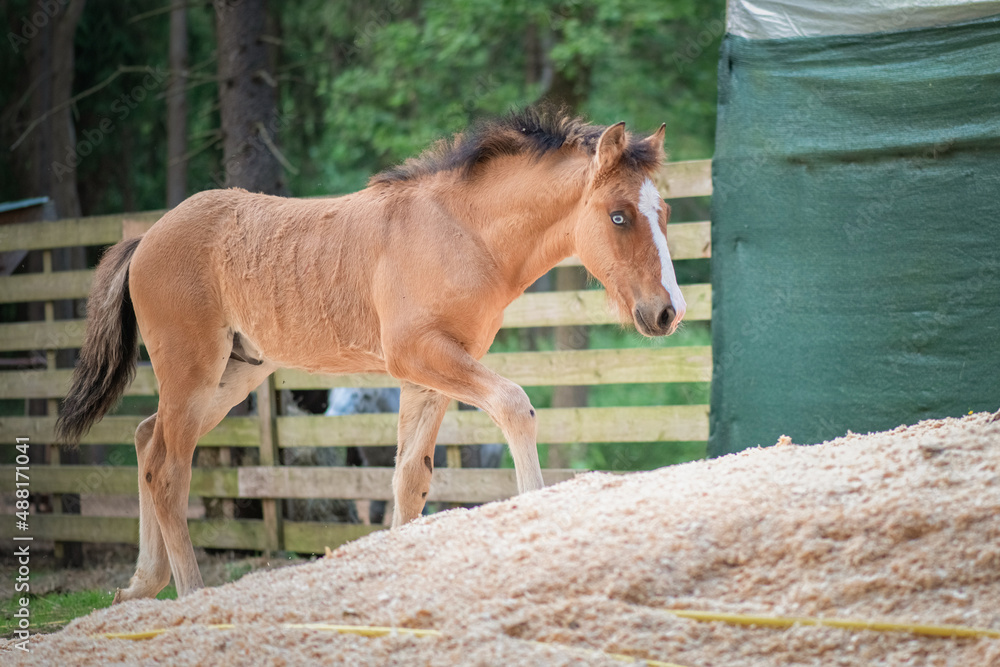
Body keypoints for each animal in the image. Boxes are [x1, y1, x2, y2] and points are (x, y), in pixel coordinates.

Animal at [55, 108, 687, 602]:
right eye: (618, 215)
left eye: (664, 214)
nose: (668, 312)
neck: (462, 232)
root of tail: (147, 238)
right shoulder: (419, 355)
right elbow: (514, 404)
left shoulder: (429, 374)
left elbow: (411, 478)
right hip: (193, 368)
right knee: (168, 468)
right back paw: (189, 594)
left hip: (236, 372)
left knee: (147, 439)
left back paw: (141, 584)